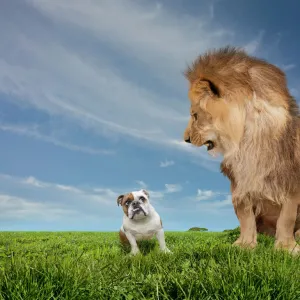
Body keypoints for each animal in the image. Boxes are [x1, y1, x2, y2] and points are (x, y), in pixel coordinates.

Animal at [183, 45, 300, 254]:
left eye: (195, 115)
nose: (185, 139)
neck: (246, 143)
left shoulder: (290, 182)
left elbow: (286, 218)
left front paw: (286, 248)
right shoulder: (240, 185)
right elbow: (246, 218)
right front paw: (244, 245)